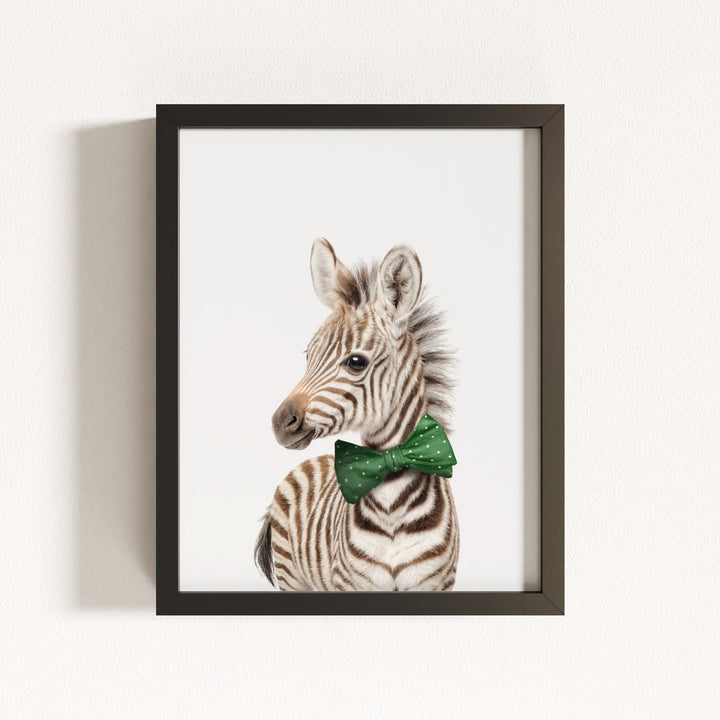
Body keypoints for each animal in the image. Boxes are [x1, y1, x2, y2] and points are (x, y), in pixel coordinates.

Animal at [254, 237, 458, 591]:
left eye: (356, 362)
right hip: (292, 575)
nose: (280, 423)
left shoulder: (435, 583)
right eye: (308, 355)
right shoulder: (352, 583)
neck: (392, 502)